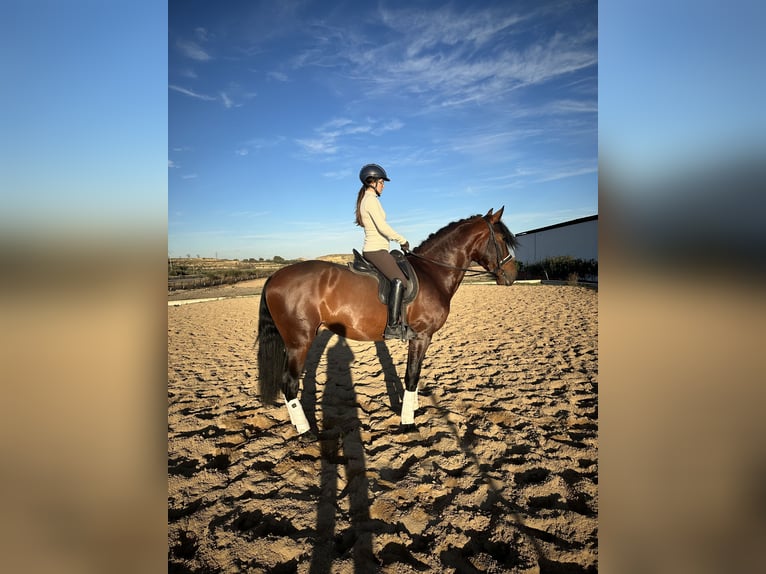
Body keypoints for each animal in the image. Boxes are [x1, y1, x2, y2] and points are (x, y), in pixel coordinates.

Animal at [257, 206, 519, 439]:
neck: (433, 273)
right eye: (501, 239)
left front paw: (413, 409)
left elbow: (415, 374)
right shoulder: (422, 336)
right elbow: (412, 375)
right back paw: (307, 433)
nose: (513, 274)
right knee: (289, 384)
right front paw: (407, 423)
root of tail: (274, 277)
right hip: (299, 342)